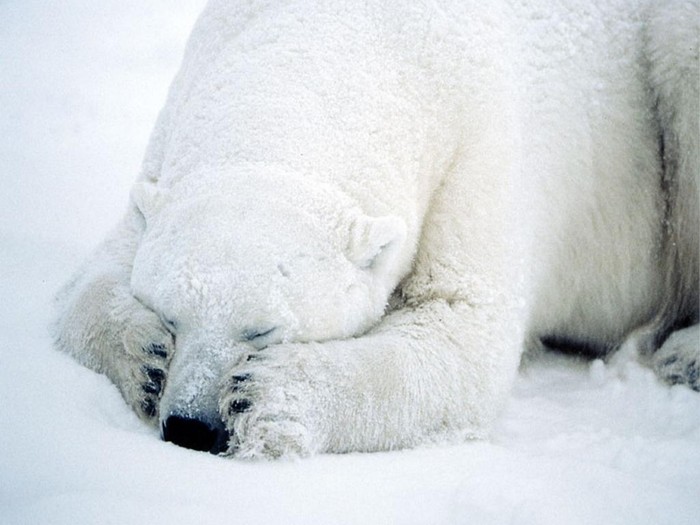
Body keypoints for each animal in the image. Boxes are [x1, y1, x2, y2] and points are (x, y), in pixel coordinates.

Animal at [50, 0, 700, 456]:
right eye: (171, 314)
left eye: (263, 331)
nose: (191, 425)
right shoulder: (173, 132)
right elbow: (94, 273)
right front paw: (145, 358)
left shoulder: (480, 151)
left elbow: (464, 331)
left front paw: (263, 398)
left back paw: (683, 354)